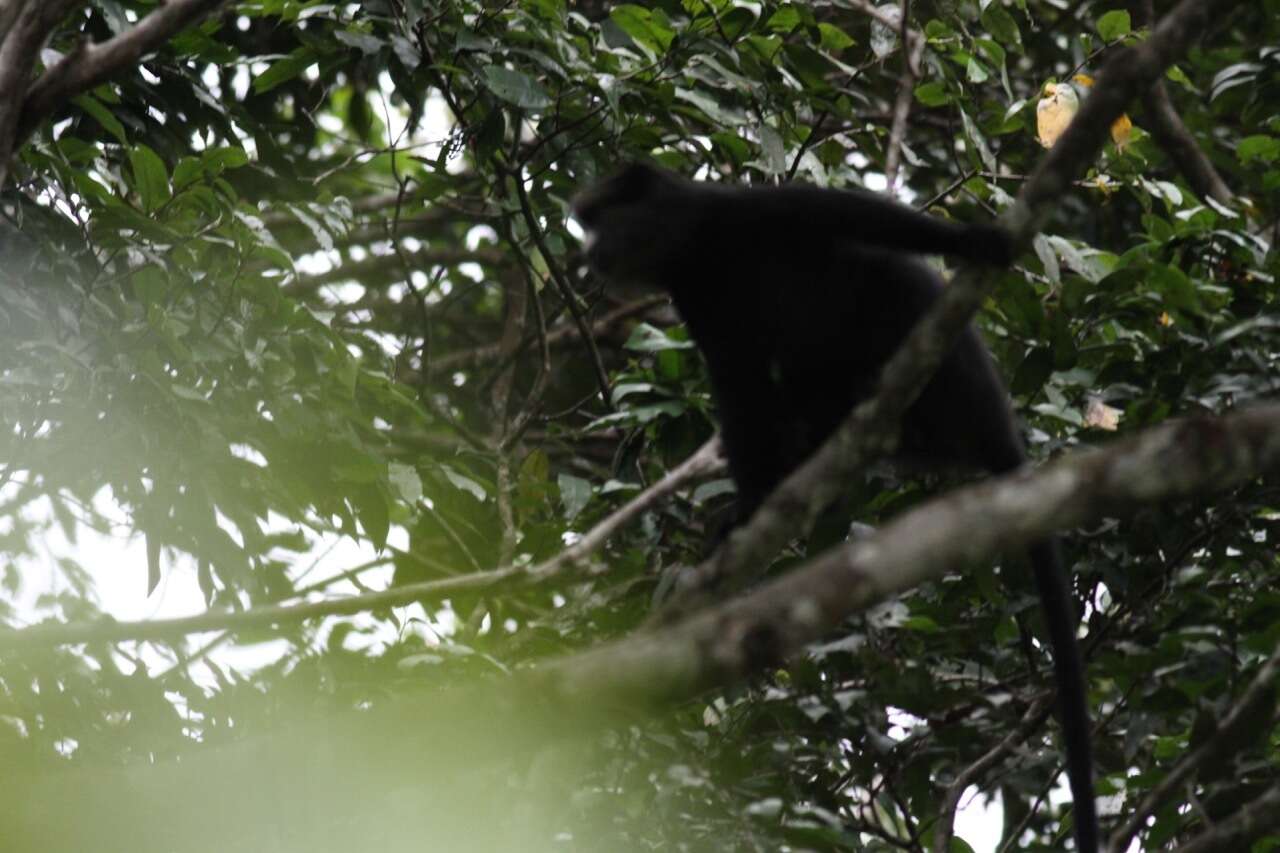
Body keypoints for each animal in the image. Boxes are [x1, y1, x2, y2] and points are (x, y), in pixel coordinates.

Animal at [570, 161, 1100, 850]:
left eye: (598, 220)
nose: (586, 255)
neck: (697, 246)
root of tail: (995, 429)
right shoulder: (698, 300)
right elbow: (742, 394)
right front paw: (745, 511)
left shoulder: (749, 214)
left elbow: (851, 214)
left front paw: (974, 240)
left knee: (883, 278)